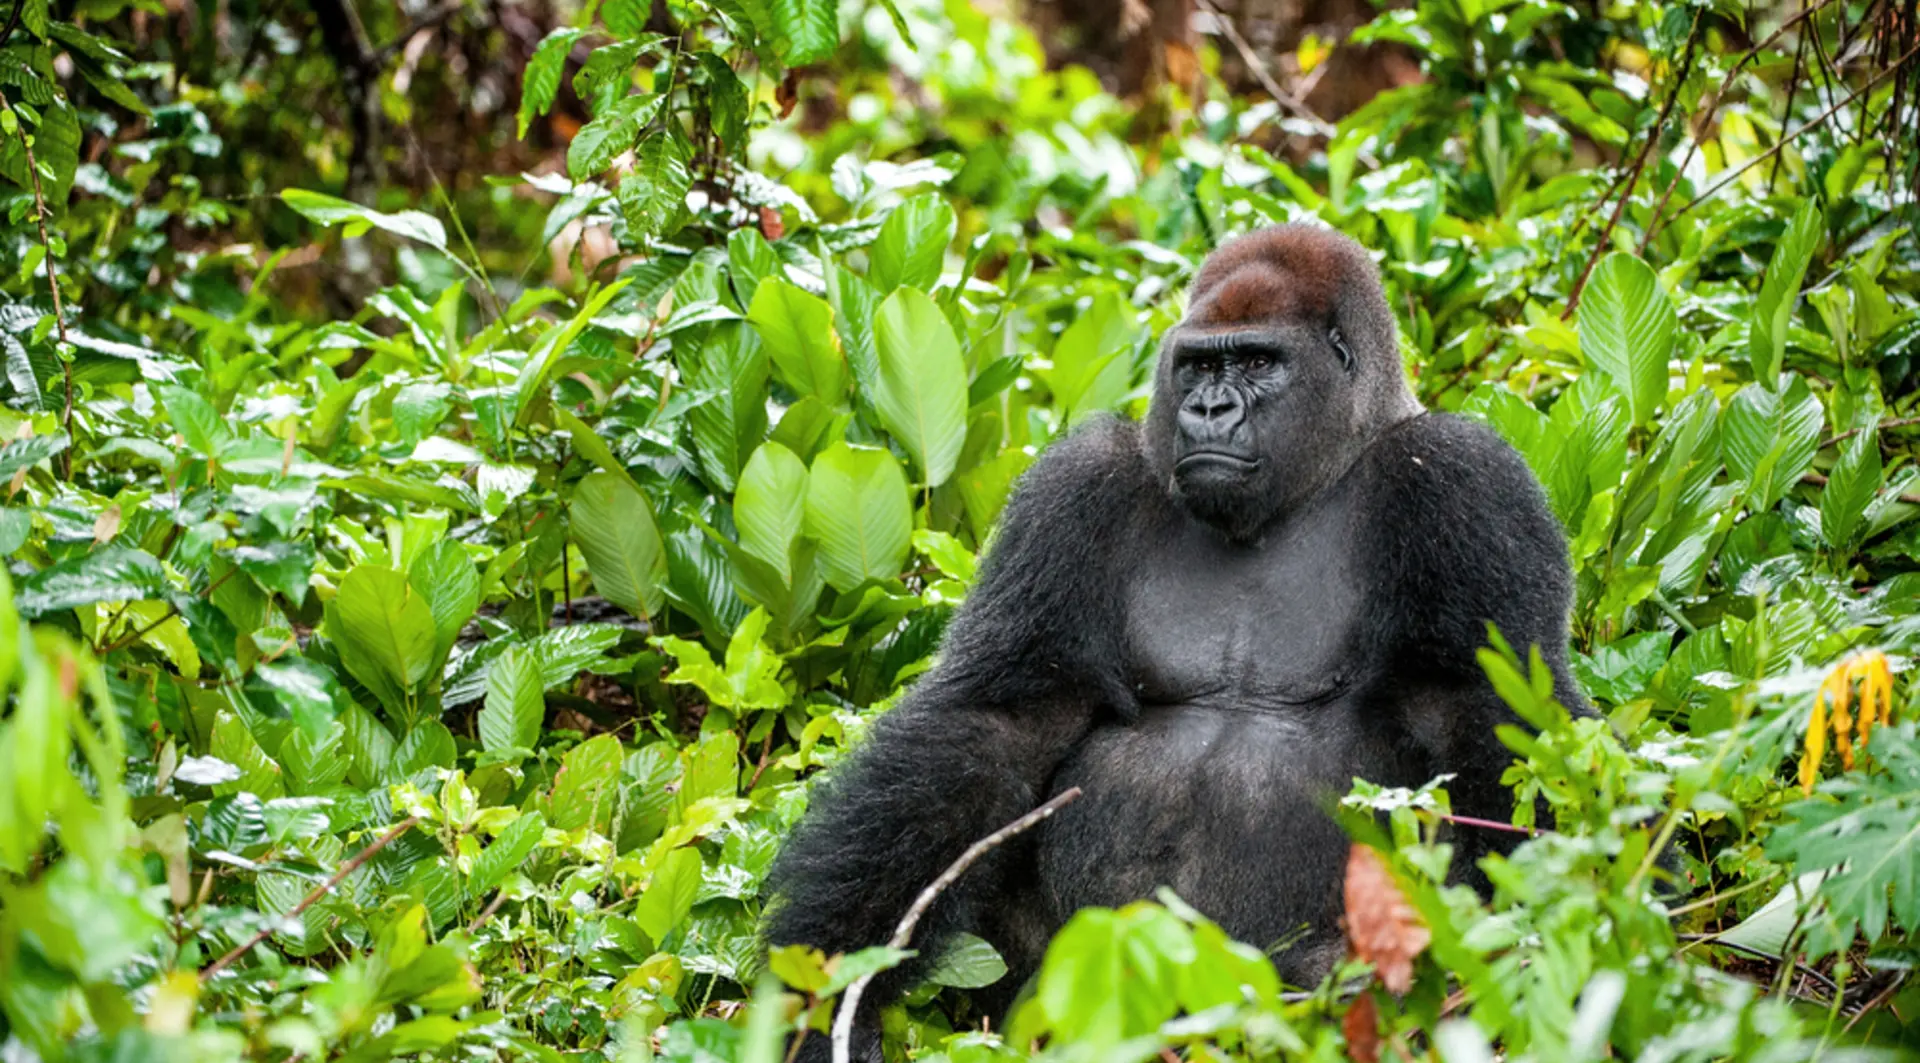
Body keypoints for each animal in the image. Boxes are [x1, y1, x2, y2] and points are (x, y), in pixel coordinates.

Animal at [760, 225, 1590, 1058]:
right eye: (1197, 365)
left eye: (1257, 362)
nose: (1208, 407)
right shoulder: (1077, 485)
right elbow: (1000, 720)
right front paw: (829, 988)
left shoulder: (1466, 480)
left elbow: (1491, 717)